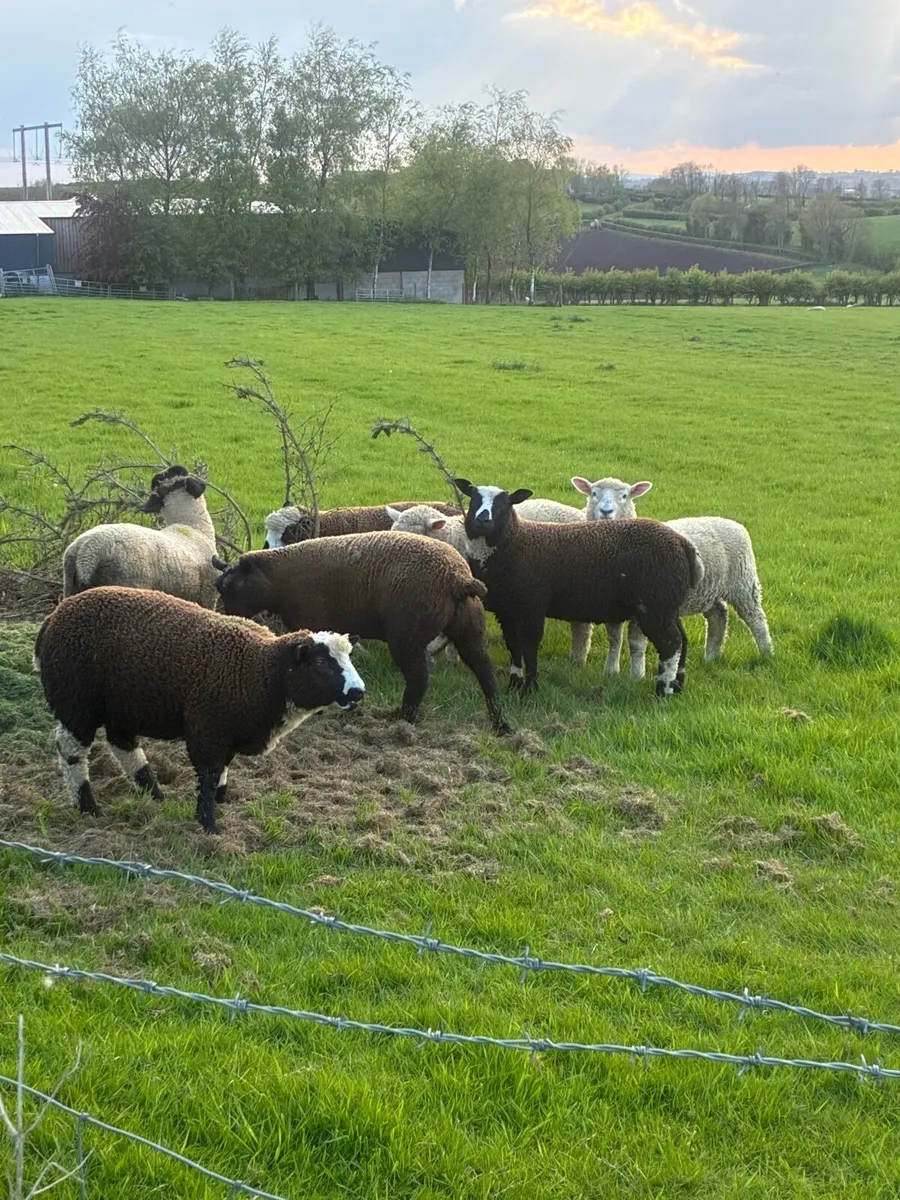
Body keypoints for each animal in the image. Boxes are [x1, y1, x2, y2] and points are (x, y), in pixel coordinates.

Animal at [33, 586, 365, 834]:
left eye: (348, 657)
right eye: (321, 662)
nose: (358, 692)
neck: (261, 669)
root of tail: (51, 619)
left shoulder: (226, 728)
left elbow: (223, 769)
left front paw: (222, 800)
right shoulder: (208, 728)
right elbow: (208, 774)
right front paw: (208, 825)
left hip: (121, 703)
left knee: (122, 742)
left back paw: (154, 794)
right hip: (76, 700)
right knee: (72, 752)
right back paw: (87, 806)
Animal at [212, 531, 512, 734]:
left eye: (230, 586)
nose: (225, 618)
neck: (278, 580)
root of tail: (457, 578)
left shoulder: (309, 621)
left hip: (407, 635)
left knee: (419, 678)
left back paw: (403, 718)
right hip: (469, 629)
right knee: (484, 671)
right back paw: (500, 723)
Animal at [451, 479, 704, 696]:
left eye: (504, 503)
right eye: (473, 499)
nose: (483, 520)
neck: (514, 543)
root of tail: (684, 545)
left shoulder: (533, 604)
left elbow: (530, 646)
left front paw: (530, 688)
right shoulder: (508, 609)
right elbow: (514, 647)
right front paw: (515, 684)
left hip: (654, 604)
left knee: (671, 643)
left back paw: (663, 690)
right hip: (668, 604)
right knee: (683, 639)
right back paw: (677, 685)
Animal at [572, 475, 773, 675]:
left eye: (625, 496)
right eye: (594, 493)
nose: (606, 511)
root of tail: (733, 523)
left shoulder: (643, 605)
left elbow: (636, 644)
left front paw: (636, 675)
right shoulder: (612, 602)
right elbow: (614, 639)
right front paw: (611, 671)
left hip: (743, 583)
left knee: (756, 619)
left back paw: (767, 654)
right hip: (707, 591)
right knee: (718, 615)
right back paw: (711, 657)